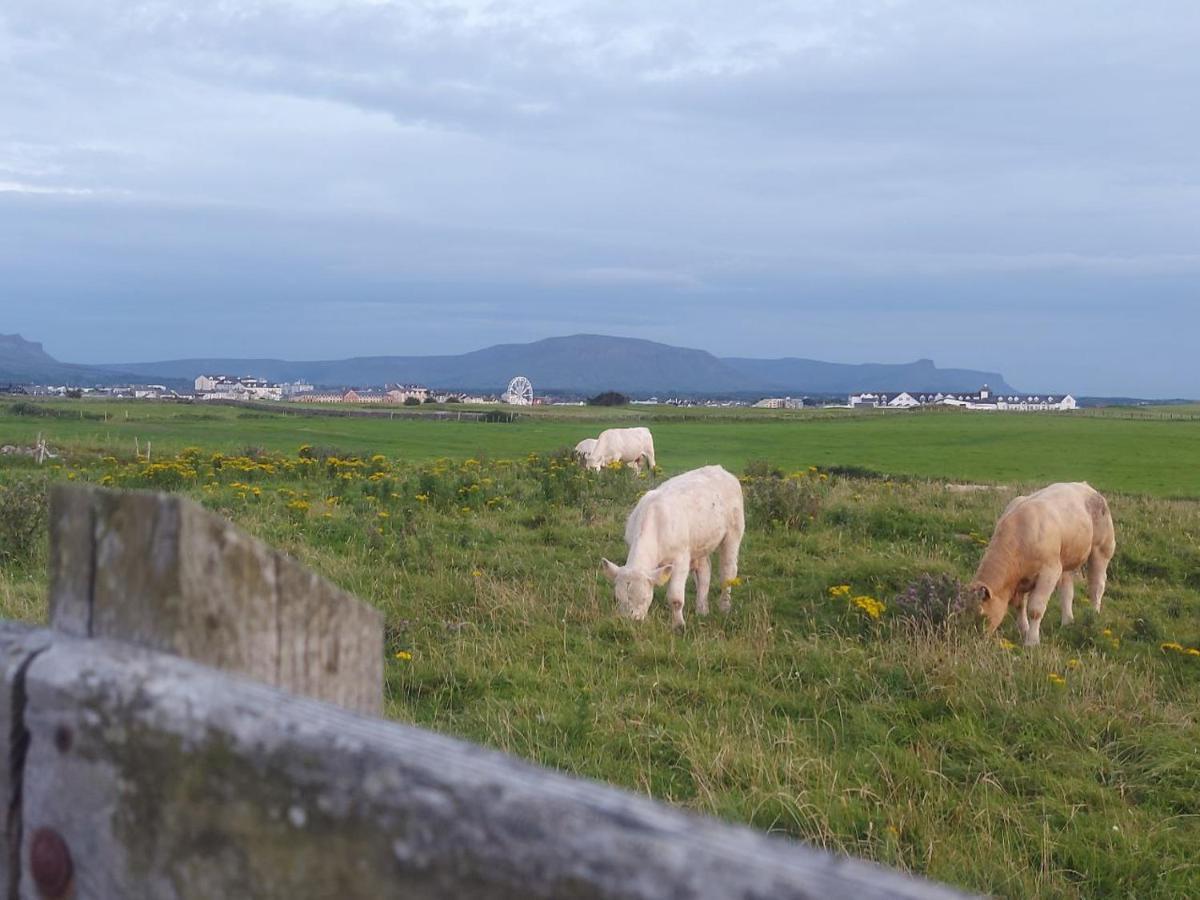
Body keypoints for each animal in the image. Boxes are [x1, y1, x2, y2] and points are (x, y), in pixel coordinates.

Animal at [600, 465, 739, 628]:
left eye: (645, 598)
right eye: (616, 598)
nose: (632, 622)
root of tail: (719, 468)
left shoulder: (681, 559)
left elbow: (675, 598)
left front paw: (678, 626)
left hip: (734, 532)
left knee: (728, 570)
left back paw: (725, 607)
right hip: (700, 543)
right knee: (704, 572)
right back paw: (702, 610)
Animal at [964, 482, 1113, 643]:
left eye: (981, 613)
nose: (971, 638)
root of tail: (1086, 486)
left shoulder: (1049, 572)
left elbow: (1035, 609)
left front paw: (1032, 641)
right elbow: (1020, 605)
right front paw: (1024, 629)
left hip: (1102, 550)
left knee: (1097, 586)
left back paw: (1094, 615)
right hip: (1066, 559)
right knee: (1067, 590)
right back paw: (1067, 622)